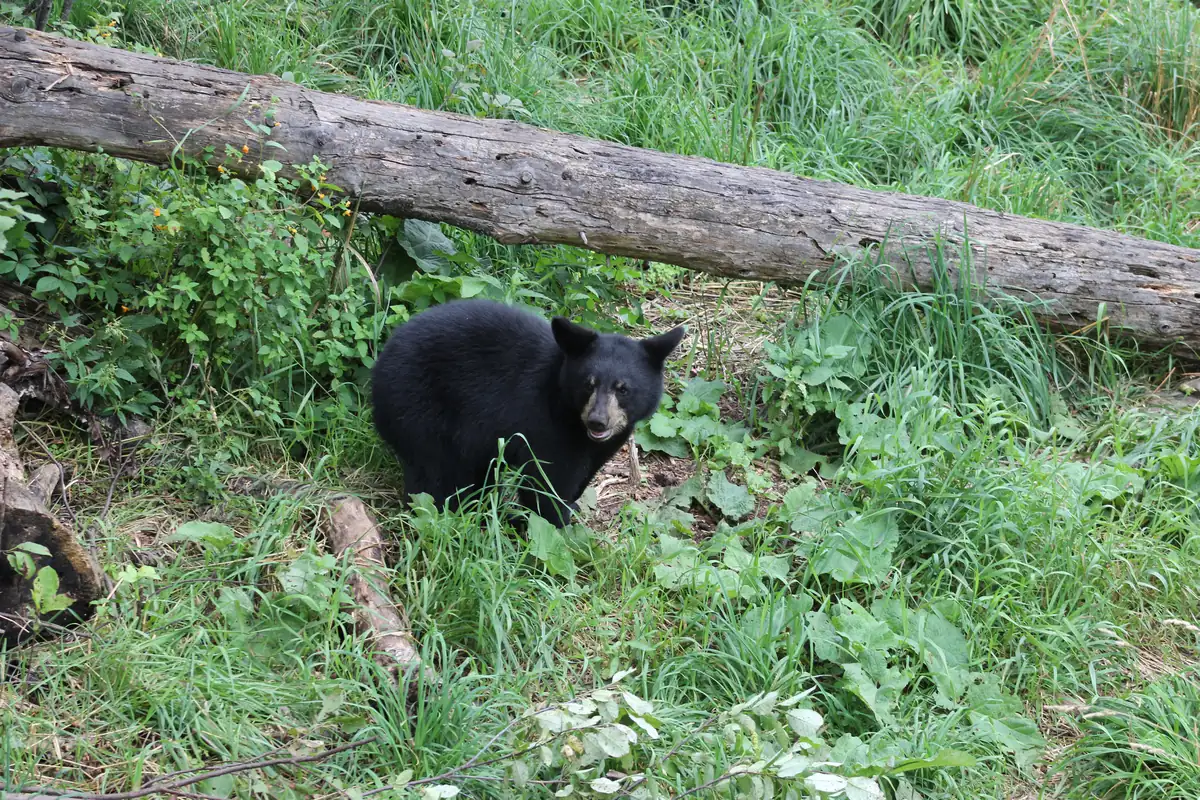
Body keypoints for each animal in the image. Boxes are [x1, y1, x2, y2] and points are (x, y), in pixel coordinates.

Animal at [371, 298, 687, 527]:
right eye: (589, 384)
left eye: (623, 389)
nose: (597, 421)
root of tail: (380, 363)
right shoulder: (544, 425)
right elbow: (546, 480)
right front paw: (556, 525)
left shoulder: (603, 444)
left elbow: (583, 474)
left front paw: (571, 507)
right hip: (417, 408)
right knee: (433, 477)